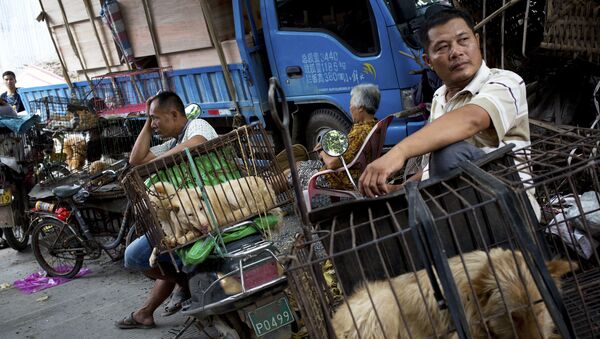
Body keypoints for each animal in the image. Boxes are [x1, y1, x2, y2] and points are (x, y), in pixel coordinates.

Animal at [146, 177, 278, 246]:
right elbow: (177, 236)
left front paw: (183, 238)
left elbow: (185, 237)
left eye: (201, 208)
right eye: (190, 214)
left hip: (231, 193)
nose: (205, 225)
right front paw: (172, 240)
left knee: (250, 208)